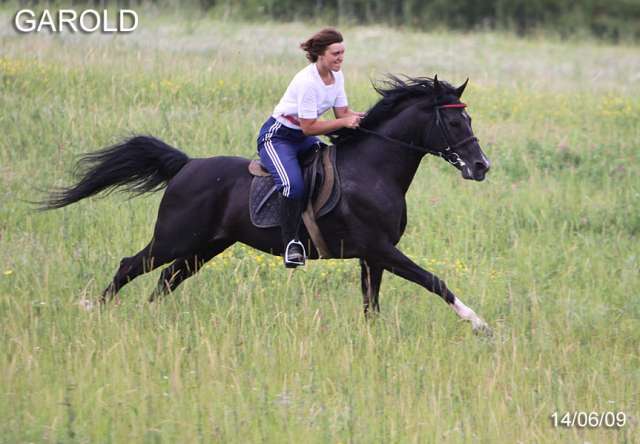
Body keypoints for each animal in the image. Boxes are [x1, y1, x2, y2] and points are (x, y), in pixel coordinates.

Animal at [42, 75, 492, 332]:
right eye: (455, 121)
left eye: (468, 119)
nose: (481, 166)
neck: (373, 170)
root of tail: (186, 166)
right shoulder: (380, 249)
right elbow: (435, 280)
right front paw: (478, 323)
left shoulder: (372, 256)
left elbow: (372, 305)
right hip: (176, 238)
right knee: (130, 266)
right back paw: (92, 309)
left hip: (205, 247)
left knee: (166, 279)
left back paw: (146, 318)